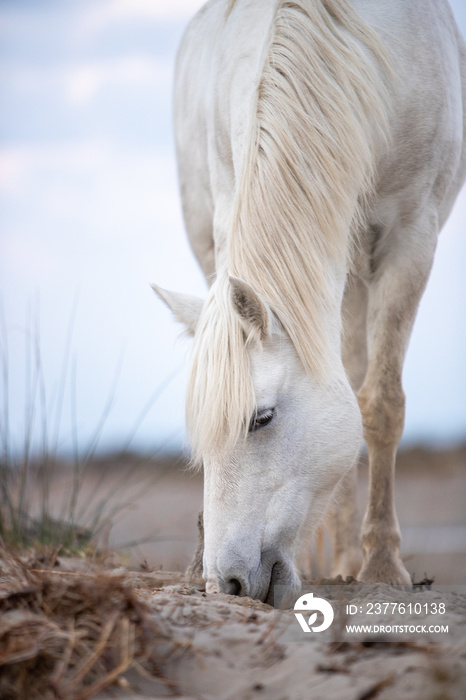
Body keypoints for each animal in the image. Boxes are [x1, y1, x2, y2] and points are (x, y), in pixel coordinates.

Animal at [154, 0, 466, 604]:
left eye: (262, 418)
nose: (228, 583)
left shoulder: (411, 238)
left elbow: (381, 405)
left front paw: (382, 565)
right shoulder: (230, 216)